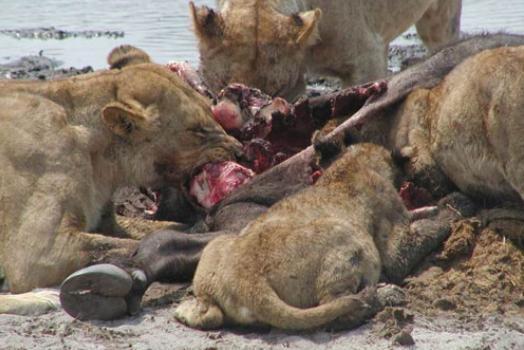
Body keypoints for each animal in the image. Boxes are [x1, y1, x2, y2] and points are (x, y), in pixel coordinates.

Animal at [0, 43, 242, 304]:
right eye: (197, 130)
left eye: (211, 109)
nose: (240, 151)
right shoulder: (36, 253)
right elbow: (120, 246)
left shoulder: (107, 220)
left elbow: (158, 228)